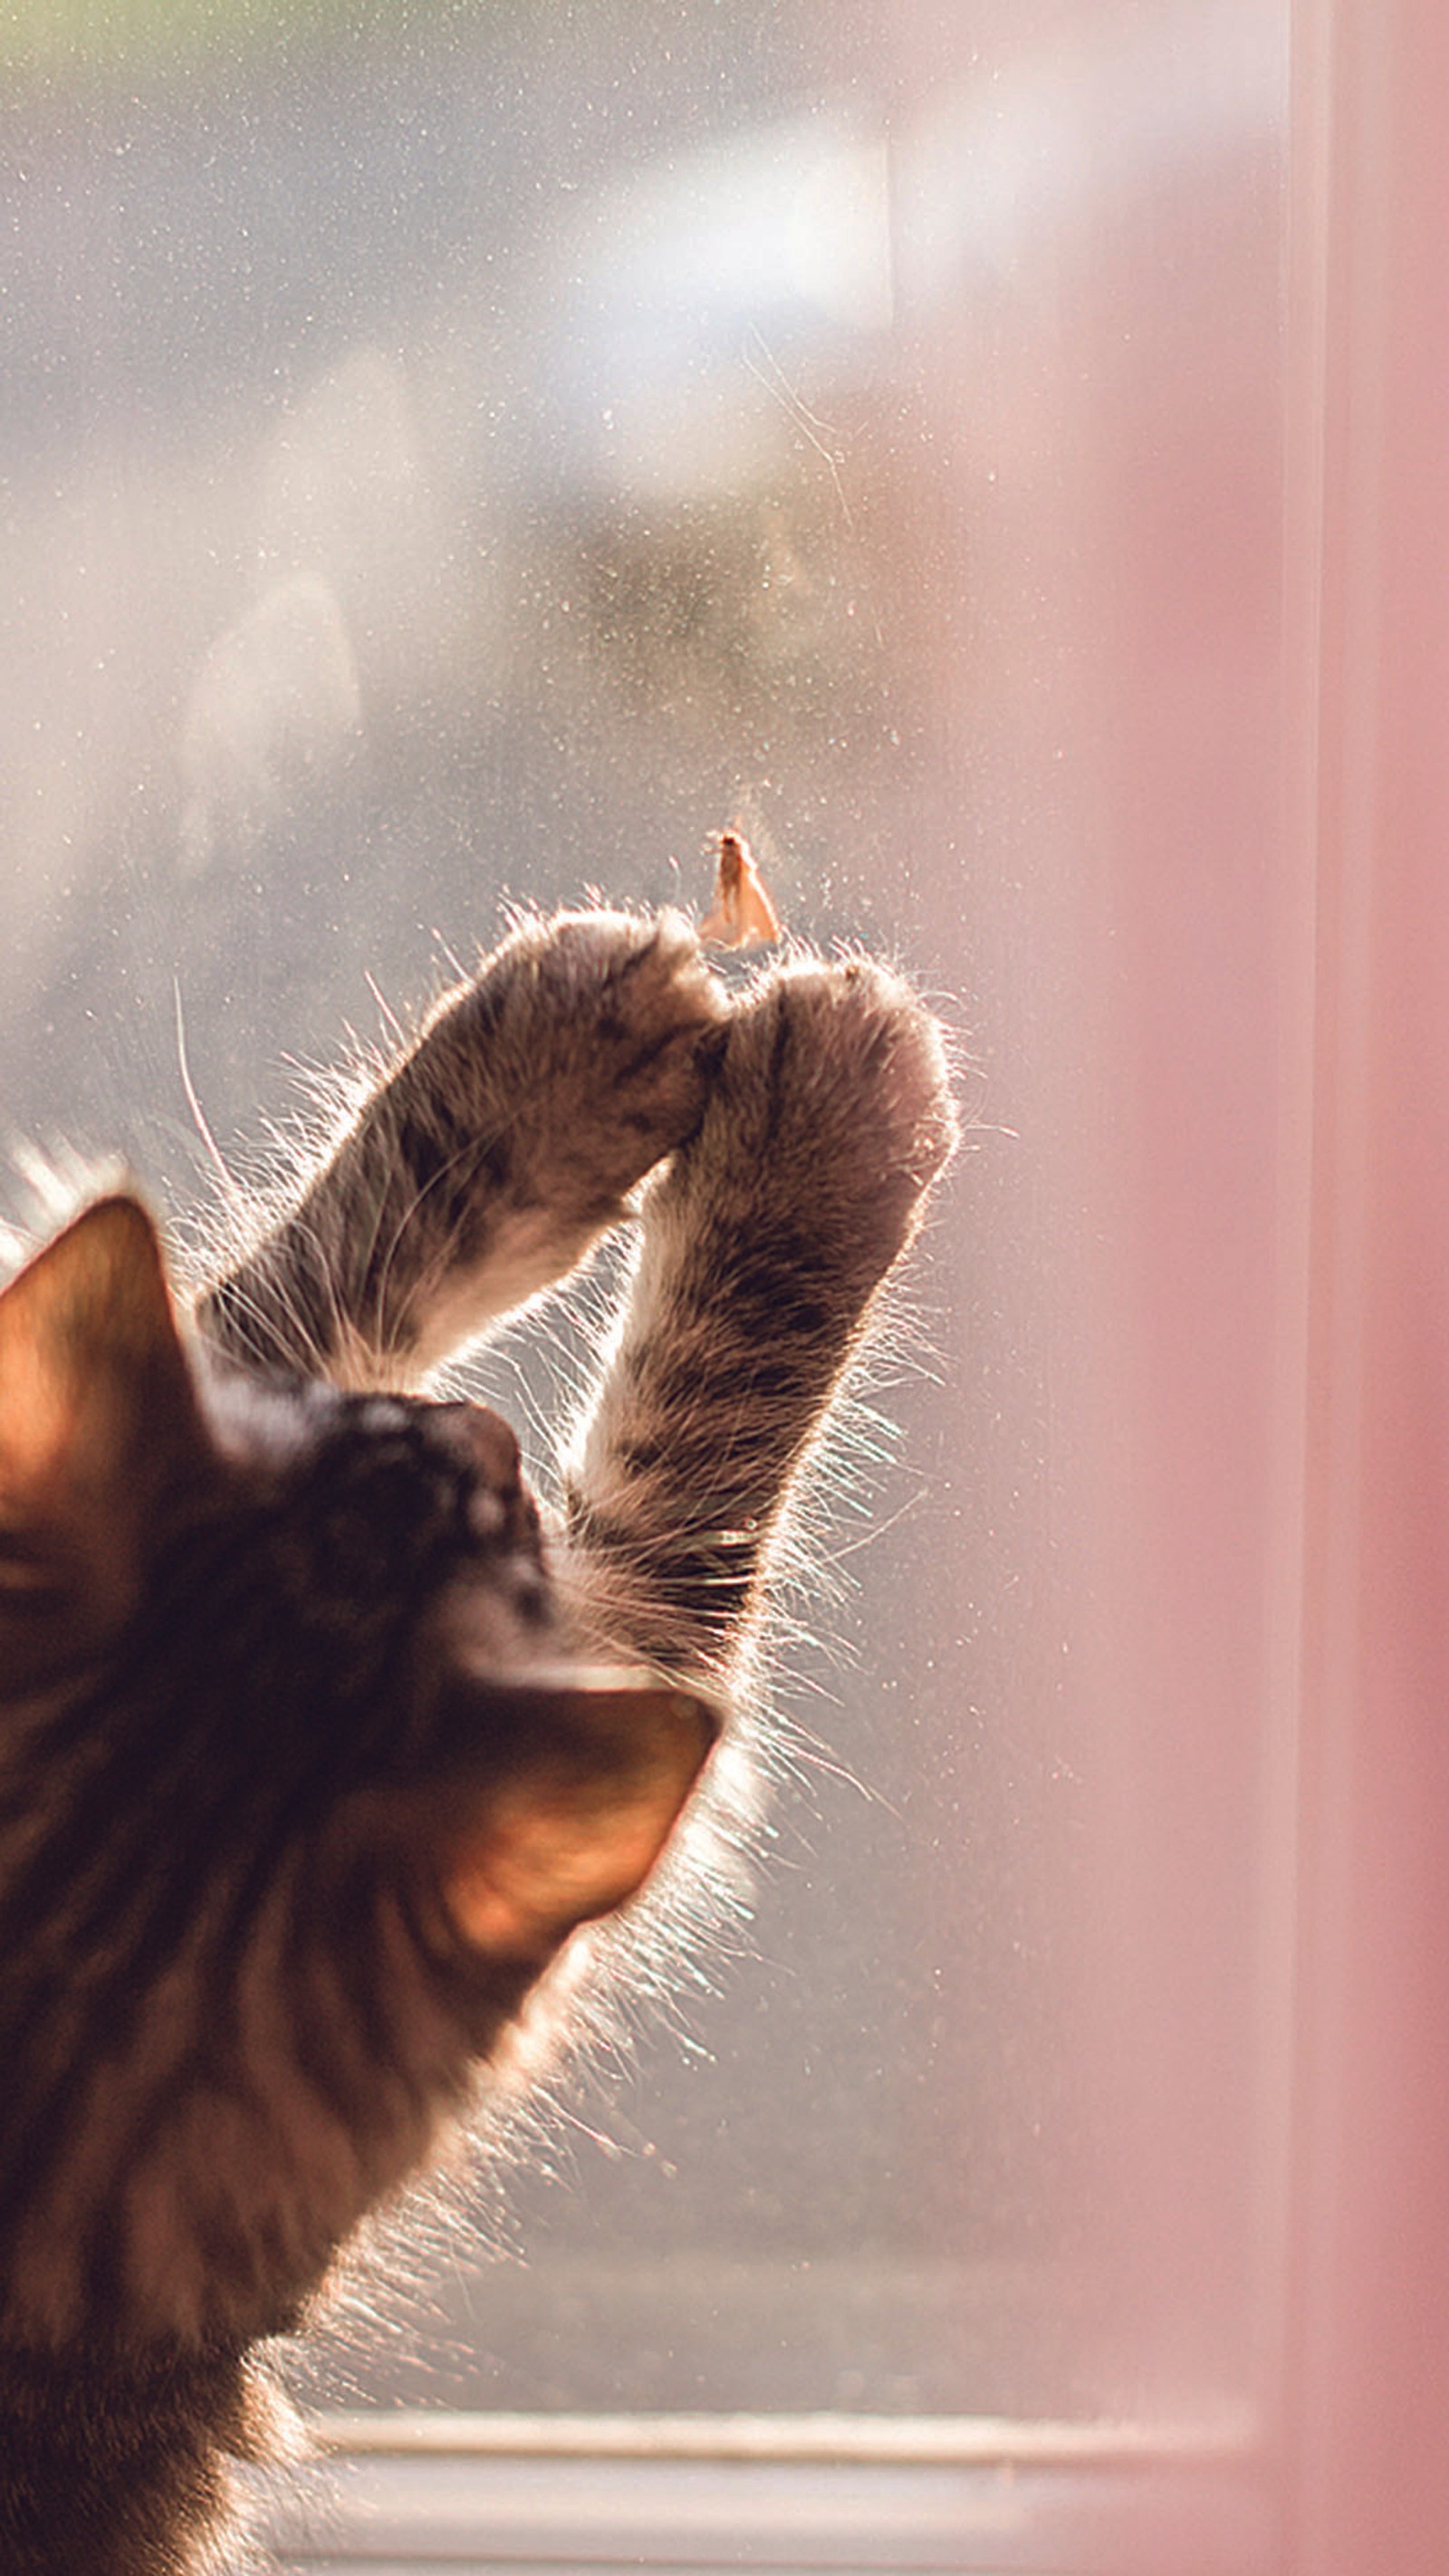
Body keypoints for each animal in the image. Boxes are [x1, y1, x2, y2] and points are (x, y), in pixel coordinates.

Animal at [0, 896, 957, 2565]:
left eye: (374, 1436)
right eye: (491, 1514)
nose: (482, 1435)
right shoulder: (610, 1653)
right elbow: (675, 1445)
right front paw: (811, 1129)